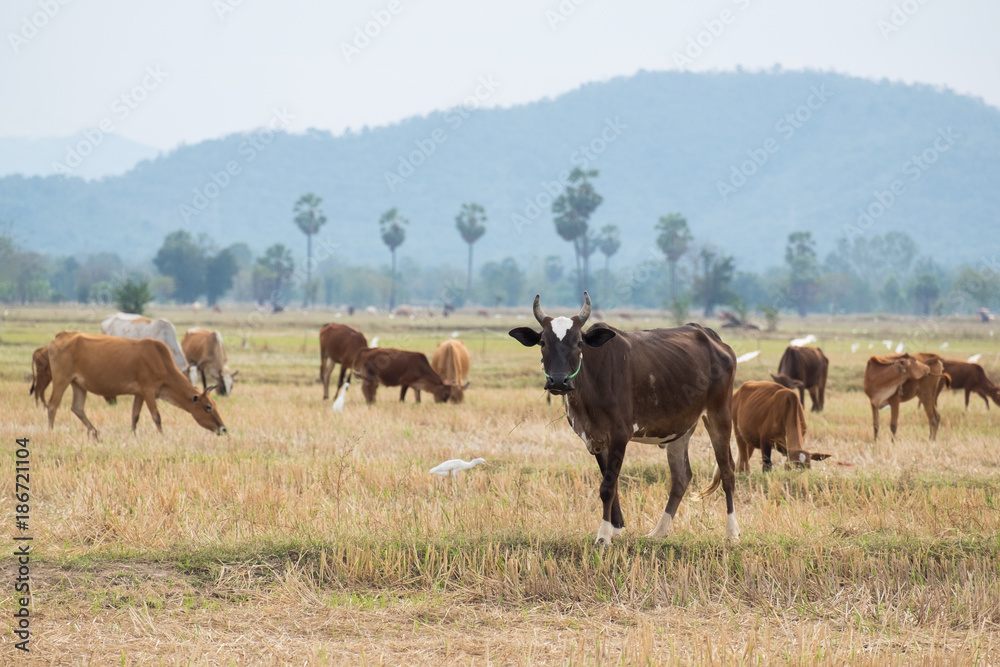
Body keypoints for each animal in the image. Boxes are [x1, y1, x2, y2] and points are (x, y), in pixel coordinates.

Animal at [45, 332, 227, 438]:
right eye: (208, 407)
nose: (223, 429)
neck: (161, 362)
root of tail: (60, 336)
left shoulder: (139, 394)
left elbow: (135, 416)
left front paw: (133, 435)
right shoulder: (148, 391)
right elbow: (156, 416)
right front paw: (163, 436)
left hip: (78, 384)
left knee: (77, 408)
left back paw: (95, 432)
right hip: (62, 379)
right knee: (53, 406)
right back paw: (51, 432)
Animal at [512, 294, 740, 548]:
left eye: (579, 343)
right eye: (543, 342)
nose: (559, 381)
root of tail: (711, 336)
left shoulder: (620, 435)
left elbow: (607, 487)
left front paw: (603, 536)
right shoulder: (595, 439)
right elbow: (611, 483)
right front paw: (617, 529)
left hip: (719, 413)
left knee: (727, 470)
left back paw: (732, 532)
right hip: (680, 428)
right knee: (681, 477)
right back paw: (659, 531)